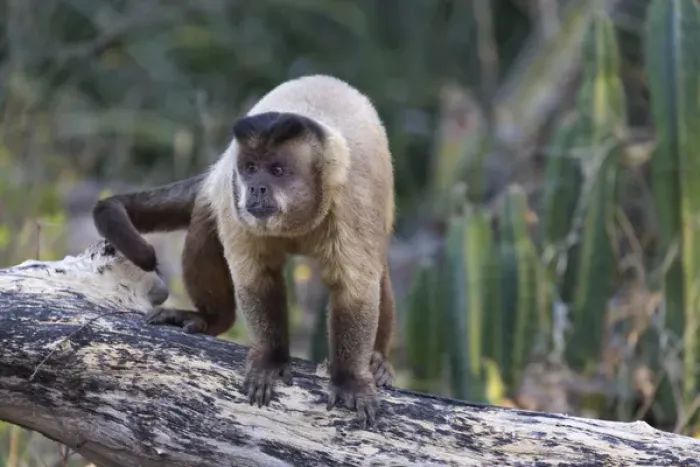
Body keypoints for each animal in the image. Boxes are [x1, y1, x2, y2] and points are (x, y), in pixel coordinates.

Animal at [92, 74, 396, 428]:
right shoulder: (233, 194)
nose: (256, 188)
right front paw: (270, 359)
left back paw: (376, 360)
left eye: (276, 171)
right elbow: (255, 277)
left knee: (377, 271)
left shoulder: (355, 200)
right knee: (205, 223)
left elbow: (355, 288)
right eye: (251, 168)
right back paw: (213, 320)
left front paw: (350, 379)